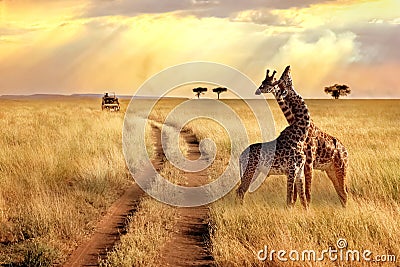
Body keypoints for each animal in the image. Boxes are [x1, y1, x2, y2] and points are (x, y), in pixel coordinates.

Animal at [236, 66, 310, 210]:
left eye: (280, 79)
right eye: (284, 78)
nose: (288, 67)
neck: (300, 135)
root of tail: (240, 155)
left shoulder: (300, 171)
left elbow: (304, 201)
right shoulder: (291, 170)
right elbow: (289, 200)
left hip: (254, 172)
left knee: (239, 190)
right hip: (250, 170)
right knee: (241, 191)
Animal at [258, 68, 348, 207]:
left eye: (283, 79)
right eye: (265, 81)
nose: (288, 67)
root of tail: (346, 151)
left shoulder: (308, 163)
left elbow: (307, 193)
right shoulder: (299, 164)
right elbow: (297, 194)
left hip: (341, 168)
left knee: (344, 193)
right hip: (331, 170)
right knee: (341, 193)